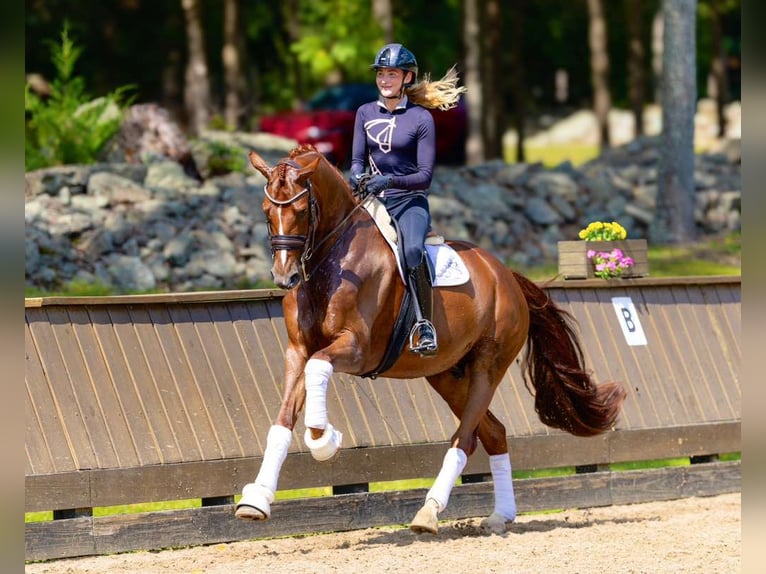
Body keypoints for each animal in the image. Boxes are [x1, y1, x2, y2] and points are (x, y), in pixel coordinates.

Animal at [235, 144, 626, 534]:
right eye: (267, 211)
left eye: (302, 211)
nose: (284, 277)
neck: (331, 263)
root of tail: (506, 275)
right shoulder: (298, 351)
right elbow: (282, 421)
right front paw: (256, 500)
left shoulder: (357, 348)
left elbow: (319, 370)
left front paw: (324, 440)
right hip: (446, 375)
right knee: (494, 433)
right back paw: (500, 515)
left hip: (487, 366)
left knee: (465, 438)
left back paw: (429, 512)